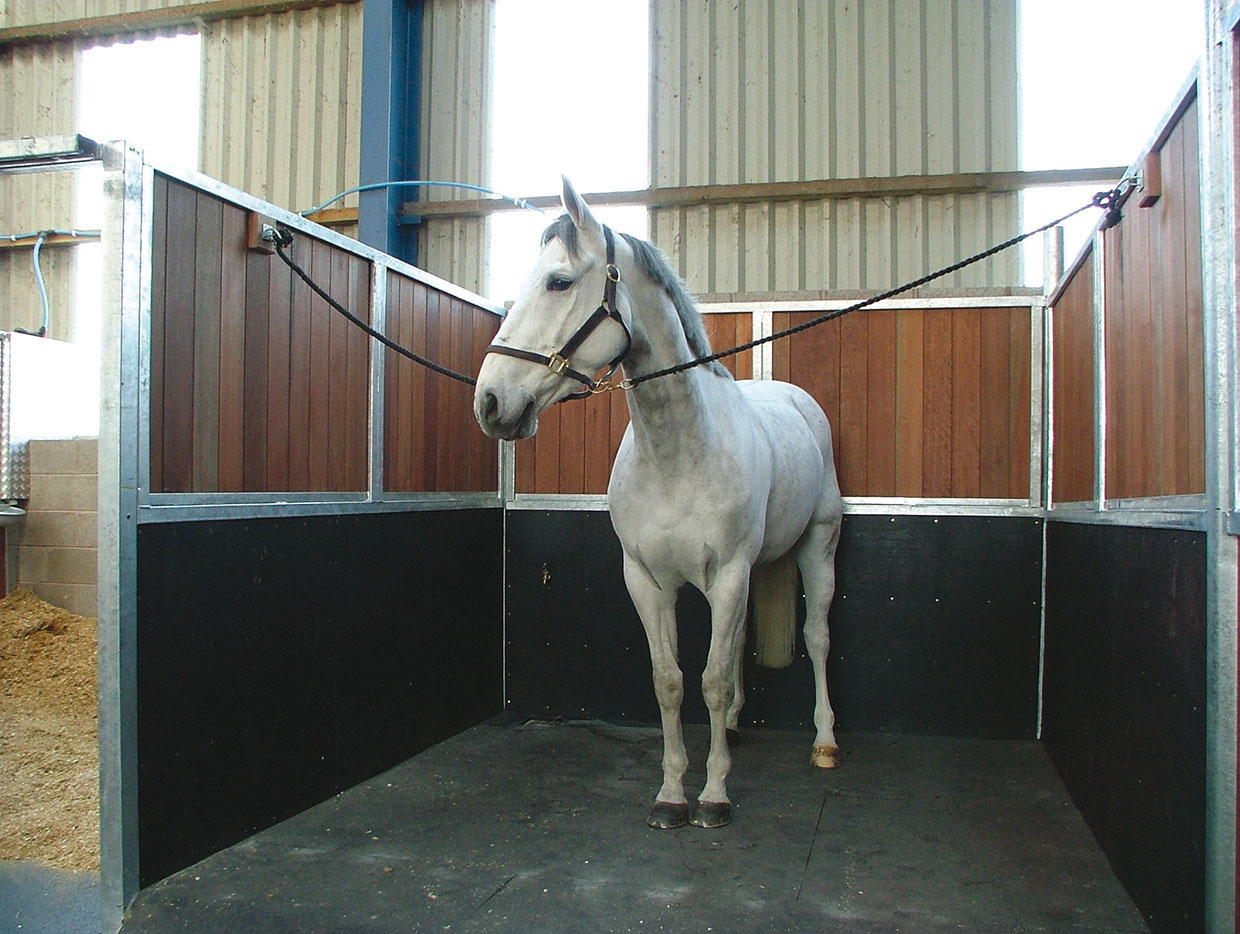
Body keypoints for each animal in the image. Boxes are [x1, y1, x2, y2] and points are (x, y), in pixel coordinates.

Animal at [473, 178, 843, 828]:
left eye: (559, 281)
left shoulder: (727, 574)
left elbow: (713, 681)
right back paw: (736, 729)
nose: (490, 402)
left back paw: (825, 743)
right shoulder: (647, 580)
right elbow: (669, 681)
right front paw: (672, 793)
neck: (677, 454)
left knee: (818, 636)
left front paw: (714, 795)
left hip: (816, 549)